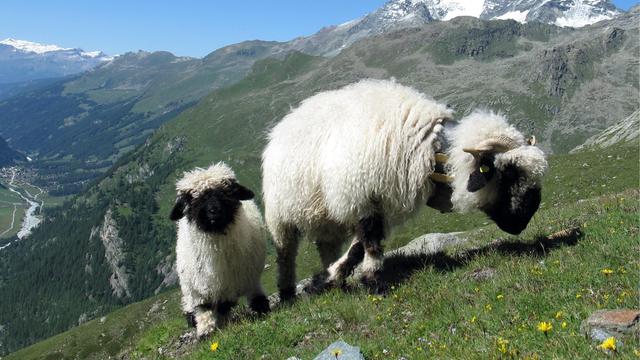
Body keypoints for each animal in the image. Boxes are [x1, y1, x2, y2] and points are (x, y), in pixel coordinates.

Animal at [169, 162, 268, 338]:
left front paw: (223, 323)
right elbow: (203, 309)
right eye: (193, 198)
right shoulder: (199, 288)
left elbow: (224, 306)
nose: (214, 211)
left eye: (226, 191)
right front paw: (205, 331)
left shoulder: (233, 283)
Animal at [262, 80, 548, 300]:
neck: (429, 149)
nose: (525, 220)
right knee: (285, 254)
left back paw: (334, 280)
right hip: (280, 216)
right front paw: (374, 283)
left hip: (327, 220)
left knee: (326, 247)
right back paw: (287, 293)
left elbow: (358, 247)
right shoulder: (363, 196)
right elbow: (371, 243)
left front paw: (335, 276)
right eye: (509, 172)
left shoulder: (379, 204)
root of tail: (287, 120)